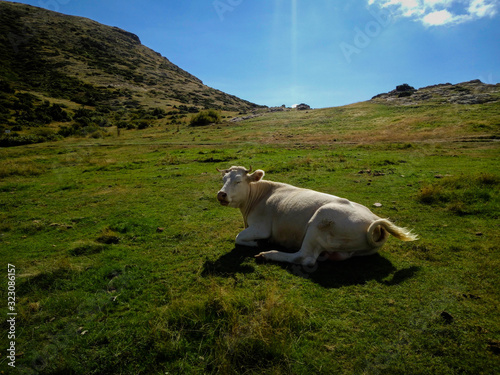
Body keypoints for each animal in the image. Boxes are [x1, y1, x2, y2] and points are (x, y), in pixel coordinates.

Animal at [217, 167, 416, 268]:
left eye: (238, 181)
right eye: (223, 180)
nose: (221, 194)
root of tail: (374, 222)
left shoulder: (261, 227)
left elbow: (238, 237)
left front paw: (258, 243)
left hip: (319, 222)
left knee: (304, 257)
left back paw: (267, 255)